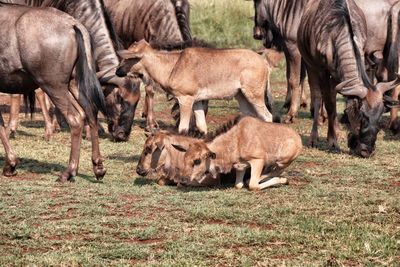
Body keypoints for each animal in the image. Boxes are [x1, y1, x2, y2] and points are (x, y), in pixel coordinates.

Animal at [114, 39, 274, 134]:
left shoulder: (185, 100)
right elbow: (202, 127)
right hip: (241, 96)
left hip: (254, 96)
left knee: (268, 117)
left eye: (128, 58)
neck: (173, 64)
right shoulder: (197, 101)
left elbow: (183, 129)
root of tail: (264, 62)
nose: (117, 71)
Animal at [170, 116, 302, 192]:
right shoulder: (240, 167)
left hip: (282, 162)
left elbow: (253, 185)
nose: (182, 180)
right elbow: (238, 185)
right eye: (185, 158)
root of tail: (298, 139)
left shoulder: (258, 161)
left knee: (276, 172)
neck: (236, 140)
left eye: (197, 161)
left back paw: (283, 180)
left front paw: (284, 180)